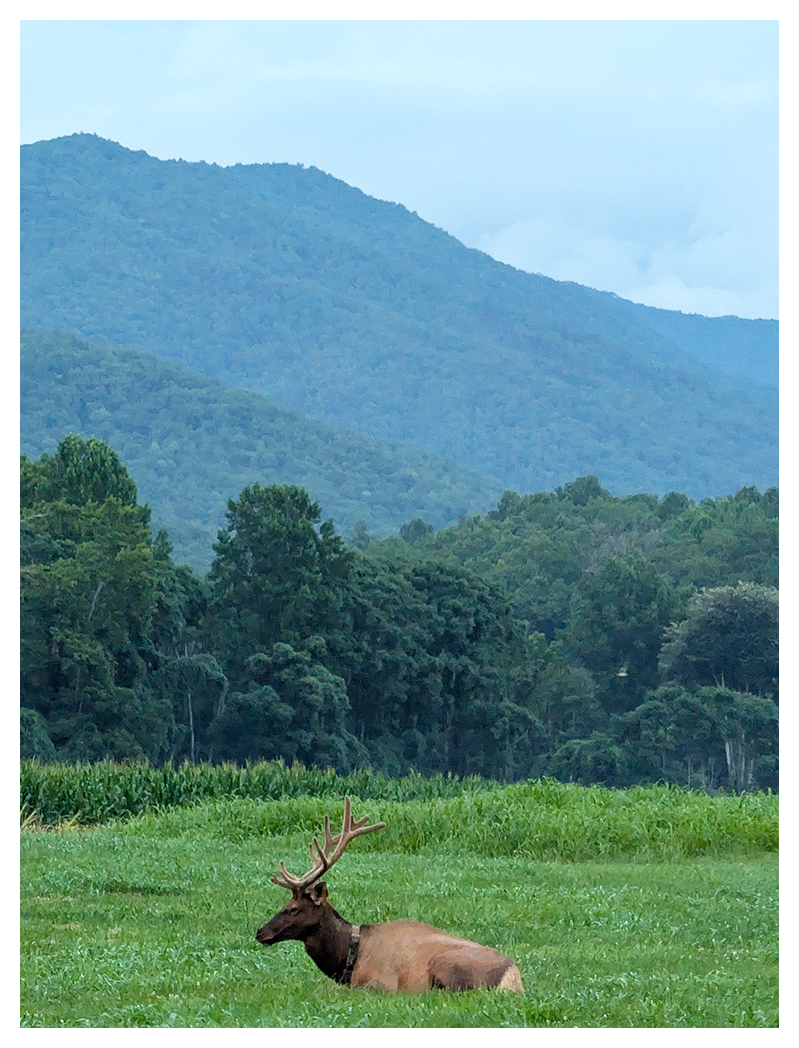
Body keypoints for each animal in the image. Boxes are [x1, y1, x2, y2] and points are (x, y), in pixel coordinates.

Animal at [255, 796, 524, 993]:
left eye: (292, 909)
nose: (260, 932)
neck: (348, 959)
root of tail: (513, 980)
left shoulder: (380, 984)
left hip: (447, 965)